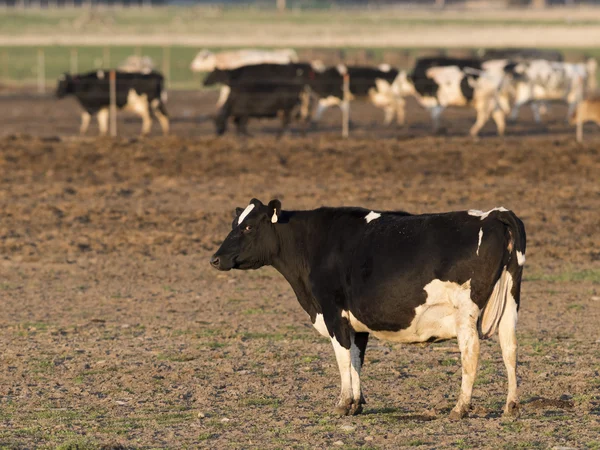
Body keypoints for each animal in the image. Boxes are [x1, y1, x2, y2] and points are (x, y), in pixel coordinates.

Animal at [210, 199, 524, 420]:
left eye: (248, 227)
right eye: (234, 223)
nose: (215, 259)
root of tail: (493, 214)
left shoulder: (333, 312)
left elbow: (342, 358)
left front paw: (343, 403)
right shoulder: (356, 322)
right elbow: (356, 359)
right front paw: (357, 404)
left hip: (465, 313)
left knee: (471, 353)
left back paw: (460, 408)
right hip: (510, 305)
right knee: (510, 349)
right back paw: (511, 406)